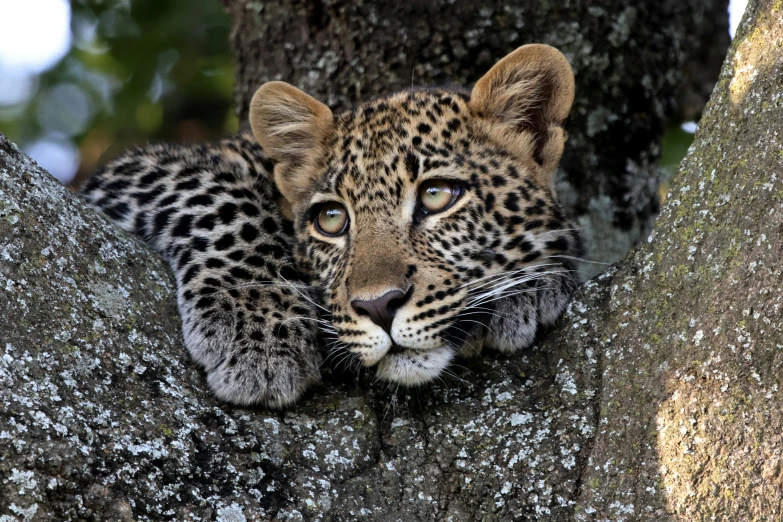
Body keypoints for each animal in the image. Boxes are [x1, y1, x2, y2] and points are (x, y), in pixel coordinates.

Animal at [81, 43, 580, 406]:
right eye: (332, 220)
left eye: (437, 195)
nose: (379, 306)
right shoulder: (135, 172)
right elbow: (218, 199)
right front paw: (259, 331)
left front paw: (531, 283)